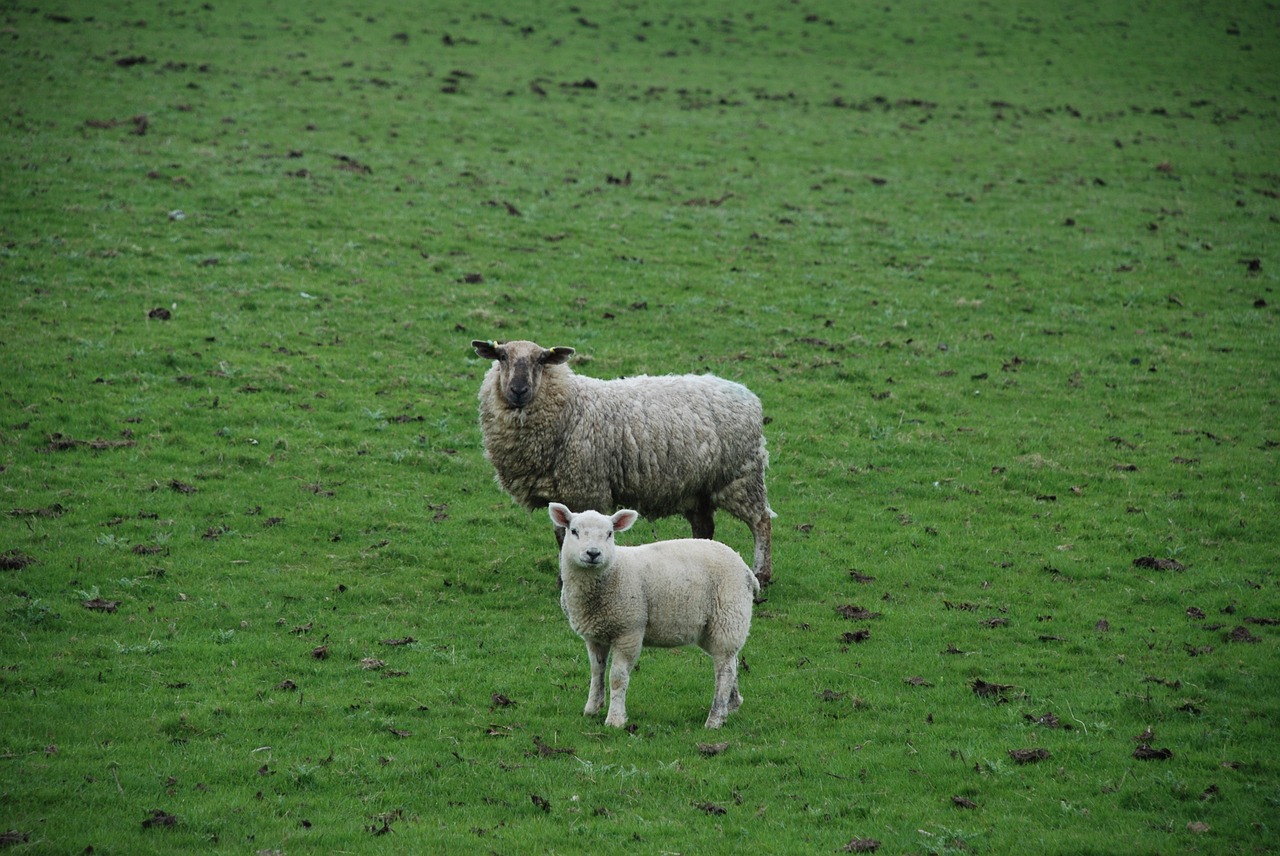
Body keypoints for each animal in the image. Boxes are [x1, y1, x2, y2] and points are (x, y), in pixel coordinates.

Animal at [471, 337, 768, 583]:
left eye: (542, 360)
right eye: (502, 357)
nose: (518, 389)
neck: (570, 406)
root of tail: (746, 394)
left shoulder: (586, 489)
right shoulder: (559, 491)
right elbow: (562, 534)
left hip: (741, 476)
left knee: (761, 521)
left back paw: (762, 575)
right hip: (697, 487)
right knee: (705, 526)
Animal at [550, 501, 757, 726]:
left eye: (610, 533)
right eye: (574, 531)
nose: (593, 553)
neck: (614, 571)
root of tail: (745, 568)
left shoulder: (629, 631)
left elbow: (617, 677)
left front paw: (615, 719)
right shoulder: (595, 635)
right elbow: (597, 671)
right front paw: (592, 708)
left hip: (728, 617)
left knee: (725, 670)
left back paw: (715, 718)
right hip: (713, 627)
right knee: (731, 661)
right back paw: (732, 705)